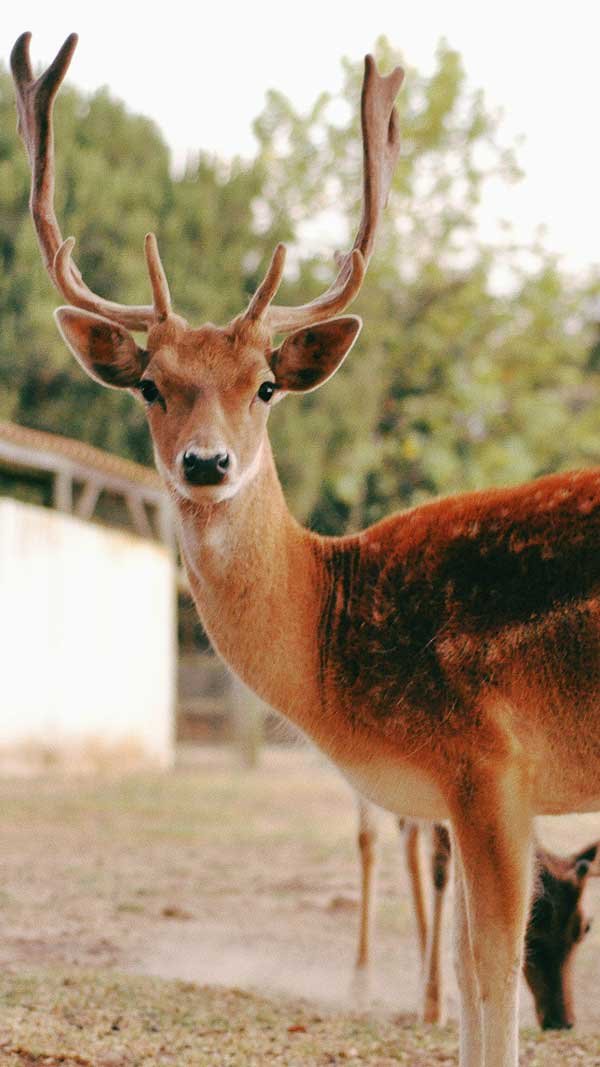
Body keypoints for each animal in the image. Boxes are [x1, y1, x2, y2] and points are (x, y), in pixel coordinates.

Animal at [354, 800, 600, 1030]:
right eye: (532, 929)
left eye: (585, 926)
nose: (563, 1021)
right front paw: (432, 1010)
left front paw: (431, 999)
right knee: (371, 839)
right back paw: (362, 987)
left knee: (407, 831)